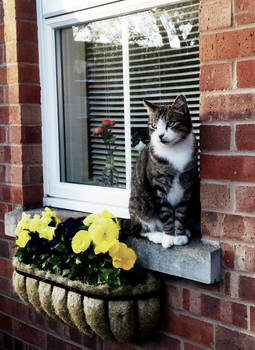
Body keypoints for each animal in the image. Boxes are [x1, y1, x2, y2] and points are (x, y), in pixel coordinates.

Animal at [128, 95, 200, 249]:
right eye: (154, 126)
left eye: (171, 123)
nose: (160, 135)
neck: (174, 150)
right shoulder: (158, 186)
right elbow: (165, 213)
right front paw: (168, 237)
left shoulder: (187, 183)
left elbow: (181, 212)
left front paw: (180, 235)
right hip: (140, 204)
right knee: (140, 230)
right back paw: (157, 235)